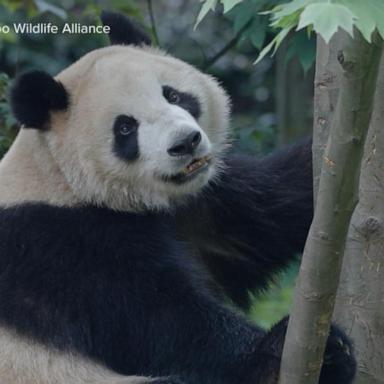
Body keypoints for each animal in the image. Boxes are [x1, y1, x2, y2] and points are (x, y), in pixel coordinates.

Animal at [0, 10, 356, 384]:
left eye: (172, 95)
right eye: (125, 128)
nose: (185, 142)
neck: (60, 179)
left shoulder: (203, 203)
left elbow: (270, 211)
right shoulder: (61, 245)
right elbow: (160, 318)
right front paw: (282, 353)